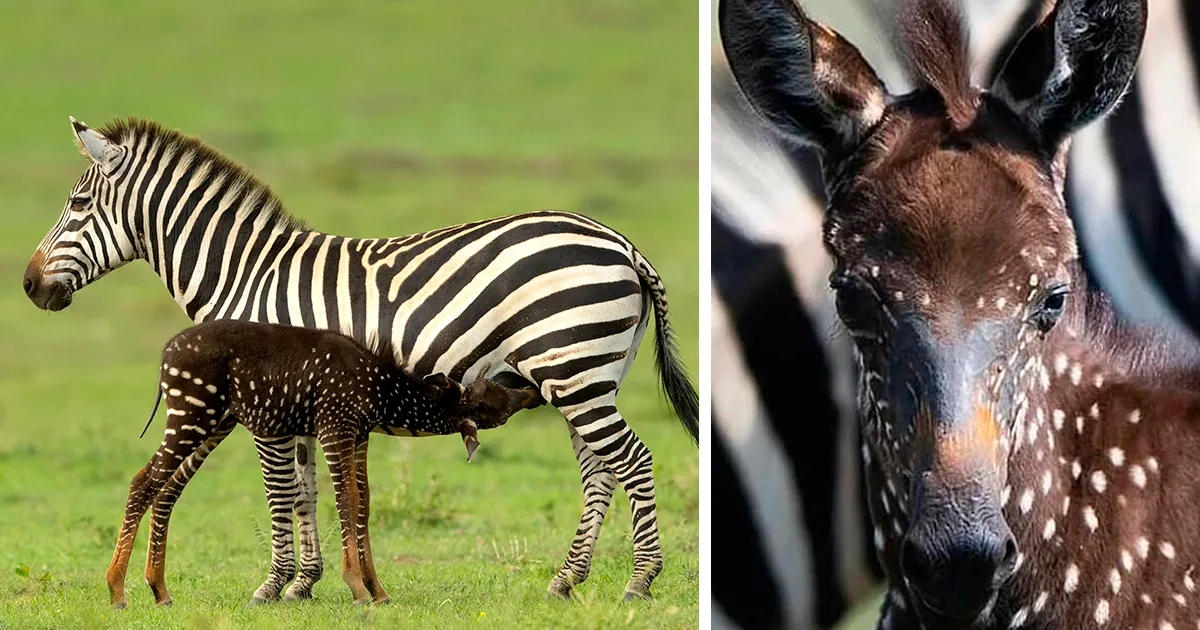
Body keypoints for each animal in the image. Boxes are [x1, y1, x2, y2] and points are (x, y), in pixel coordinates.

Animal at [23, 116, 699, 604]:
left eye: (78, 205)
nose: (29, 286)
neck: (247, 273)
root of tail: (622, 243)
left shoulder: (267, 400)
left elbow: (279, 491)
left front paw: (274, 585)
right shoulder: (295, 400)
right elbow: (306, 490)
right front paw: (305, 582)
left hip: (575, 371)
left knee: (632, 462)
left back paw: (640, 581)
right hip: (587, 376)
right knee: (600, 470)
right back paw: (567, 579)